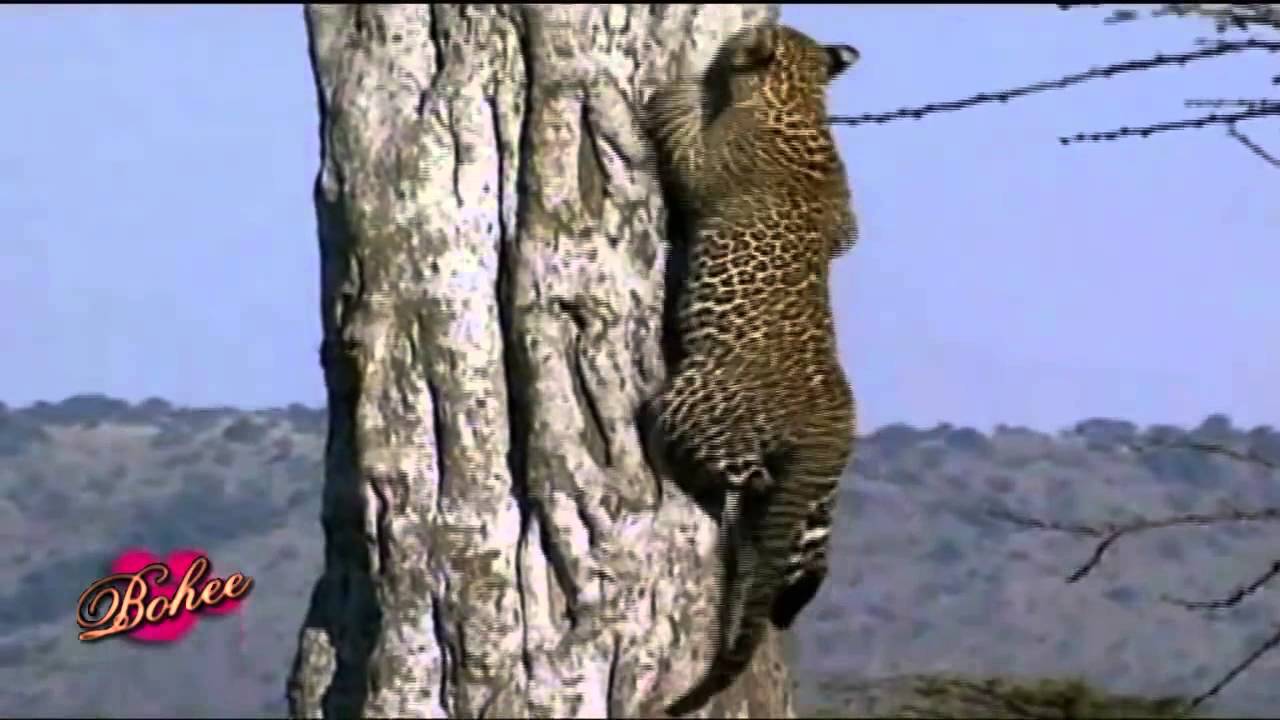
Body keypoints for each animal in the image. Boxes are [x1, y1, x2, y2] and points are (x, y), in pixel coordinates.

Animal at [641, 21, 862, 716]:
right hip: (819, 496)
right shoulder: (849, 226)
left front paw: (670, 91)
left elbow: (682, 141)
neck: (802, 100)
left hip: (690, 403)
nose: (732, 40)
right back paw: (790, 598)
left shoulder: (704, 169)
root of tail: (829, 428)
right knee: (807, 549)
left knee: (747, 480)